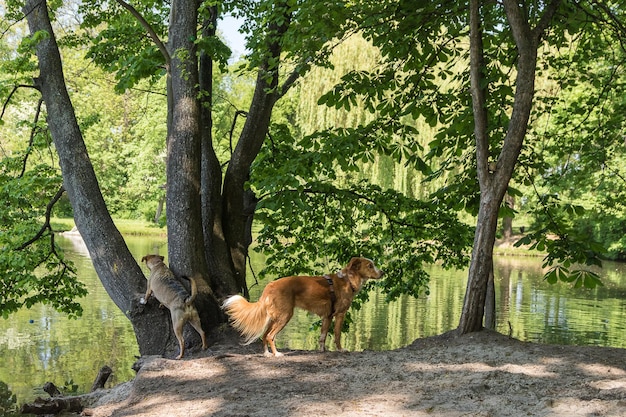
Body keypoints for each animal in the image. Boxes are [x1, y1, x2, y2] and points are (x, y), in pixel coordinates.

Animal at [222, 255, 382, 356]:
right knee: (270, 336)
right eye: (370, 266)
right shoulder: (340, 314)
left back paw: (267, 354)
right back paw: (277, 354)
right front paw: (341, 350)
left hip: (274, 317)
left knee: (264, 335)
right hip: (285, 316)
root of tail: (271, 285)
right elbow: (337, 335)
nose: (383, 272)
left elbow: (322, 336)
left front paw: (322, 351)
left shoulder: (327, 316)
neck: (348, 280)